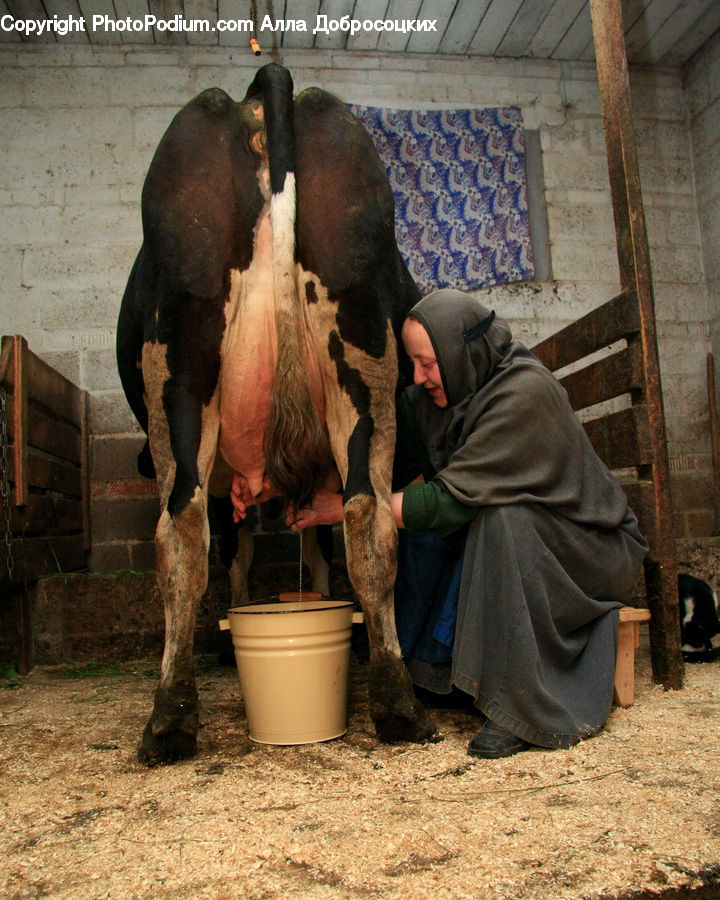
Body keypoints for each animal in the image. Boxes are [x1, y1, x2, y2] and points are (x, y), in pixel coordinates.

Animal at [116, 59, 436, 764]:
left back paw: (168, 719)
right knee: (368, 517)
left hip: (177, 366)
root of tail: (262, 93)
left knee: (180, 532)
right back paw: (397, 705)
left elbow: (234, 561)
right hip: (361, 351)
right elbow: (315, 556)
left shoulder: (228, 487)